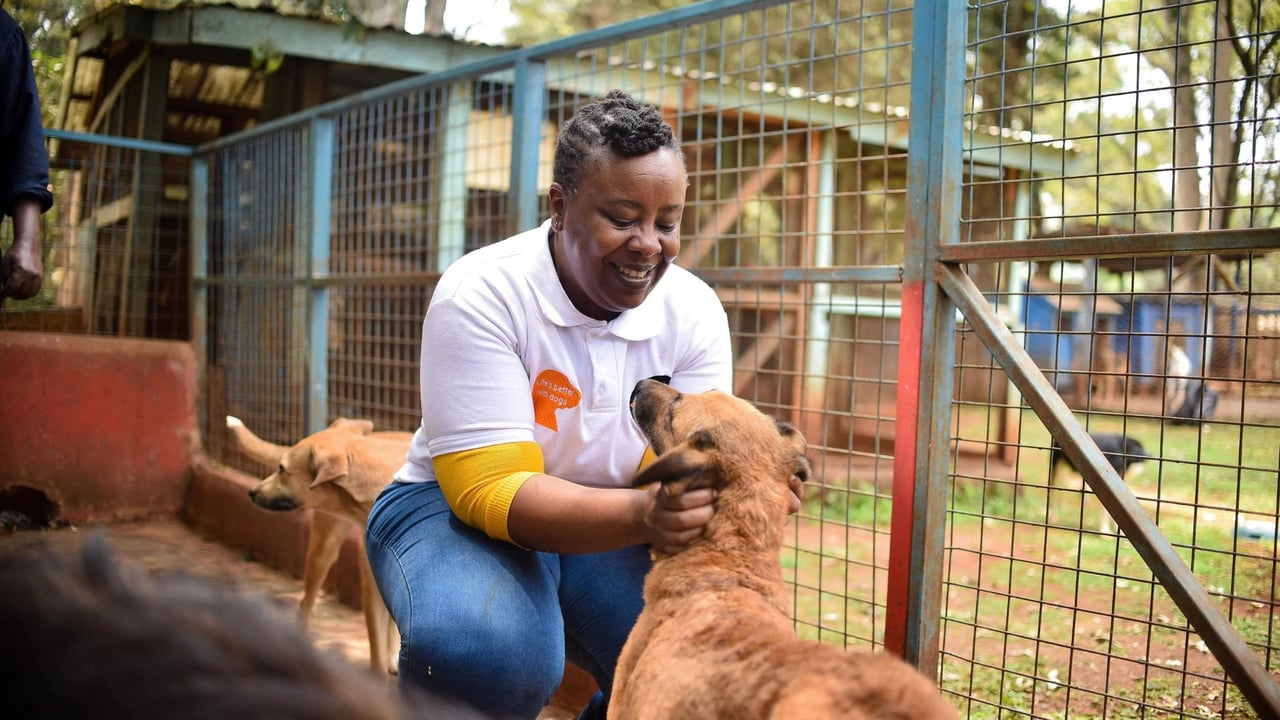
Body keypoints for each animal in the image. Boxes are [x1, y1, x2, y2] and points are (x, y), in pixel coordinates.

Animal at [225, 415, 409, 671]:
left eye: (282, 469)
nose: (252, 492)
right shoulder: (371, 591)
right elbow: (376, 659)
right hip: (323, 552)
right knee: (305, 604)